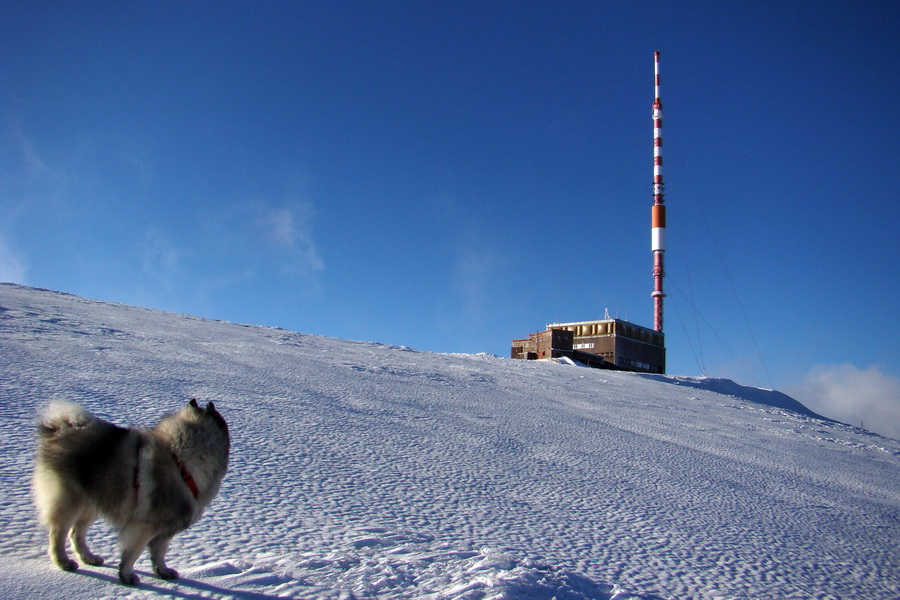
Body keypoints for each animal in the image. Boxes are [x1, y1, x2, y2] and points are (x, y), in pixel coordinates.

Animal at [34, 400, 232, 584]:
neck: (180, 462)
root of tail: (61, 429)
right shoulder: (145, 526)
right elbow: (133, 553)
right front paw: (127, 576)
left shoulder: (165, 529)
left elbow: (159, 553)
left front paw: (163, 571)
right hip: (71, 501)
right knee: (58, 534)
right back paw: (63, 562)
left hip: (93, 502)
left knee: (76, 533)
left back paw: (89, 558)